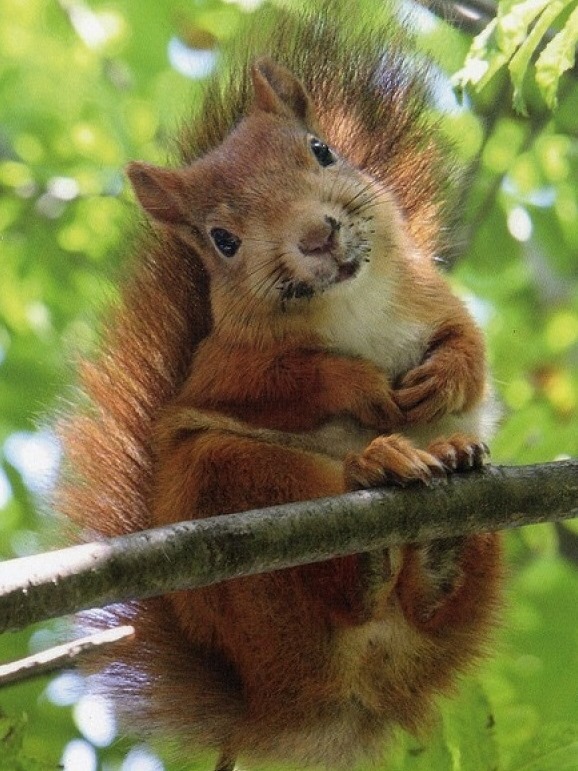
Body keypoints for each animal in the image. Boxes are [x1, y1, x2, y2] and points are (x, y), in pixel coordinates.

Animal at [56, 2, 503, 770]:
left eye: (323, 149)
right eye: (223, 240)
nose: (316, 235)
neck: (349, 302)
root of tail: (306, 709)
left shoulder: (429, 294)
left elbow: (467, 342)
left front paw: (446, 378)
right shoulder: (225, 365)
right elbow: (289, 382)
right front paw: (359, 384)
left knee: (429, 608)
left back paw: (443, 508)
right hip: (231, 489)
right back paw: (375, 487)